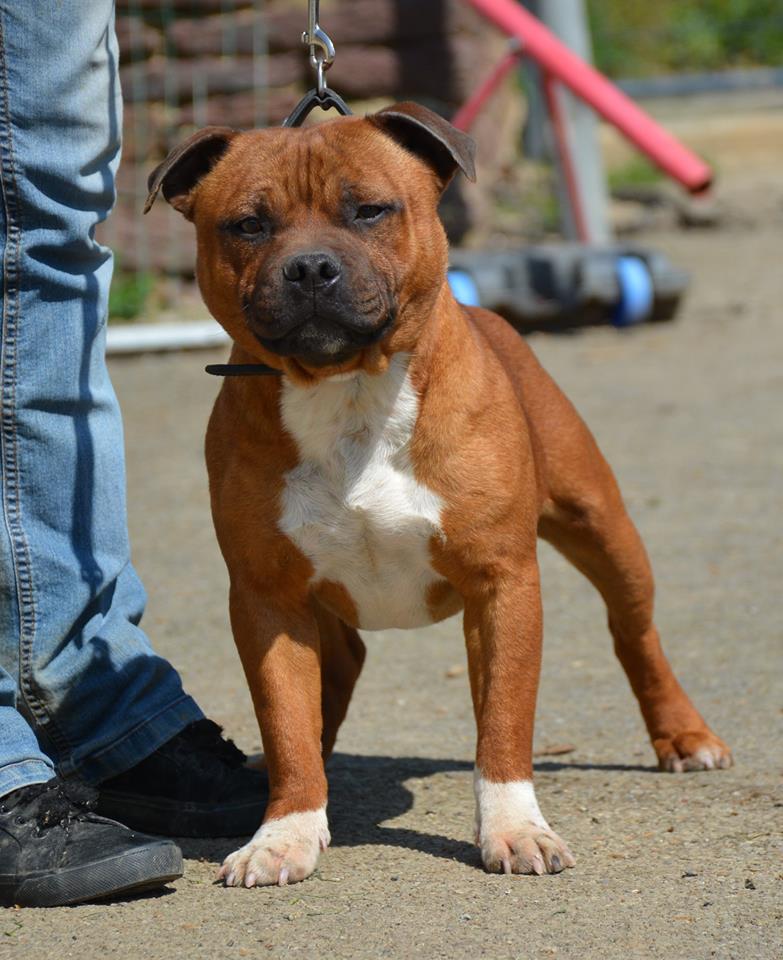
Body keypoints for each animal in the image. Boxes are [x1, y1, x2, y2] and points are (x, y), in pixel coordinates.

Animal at [149, 103, 736, 884]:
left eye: (370, 210)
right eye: (248, 224)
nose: (310, 267)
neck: (349, 393)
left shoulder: (501, 583)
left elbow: (503, 723)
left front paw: (515, 829)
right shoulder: (266, 599)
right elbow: (286, 722)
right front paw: (285, 831)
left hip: (604, 529)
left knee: (633, 632)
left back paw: (684, 735)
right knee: (336, 674)